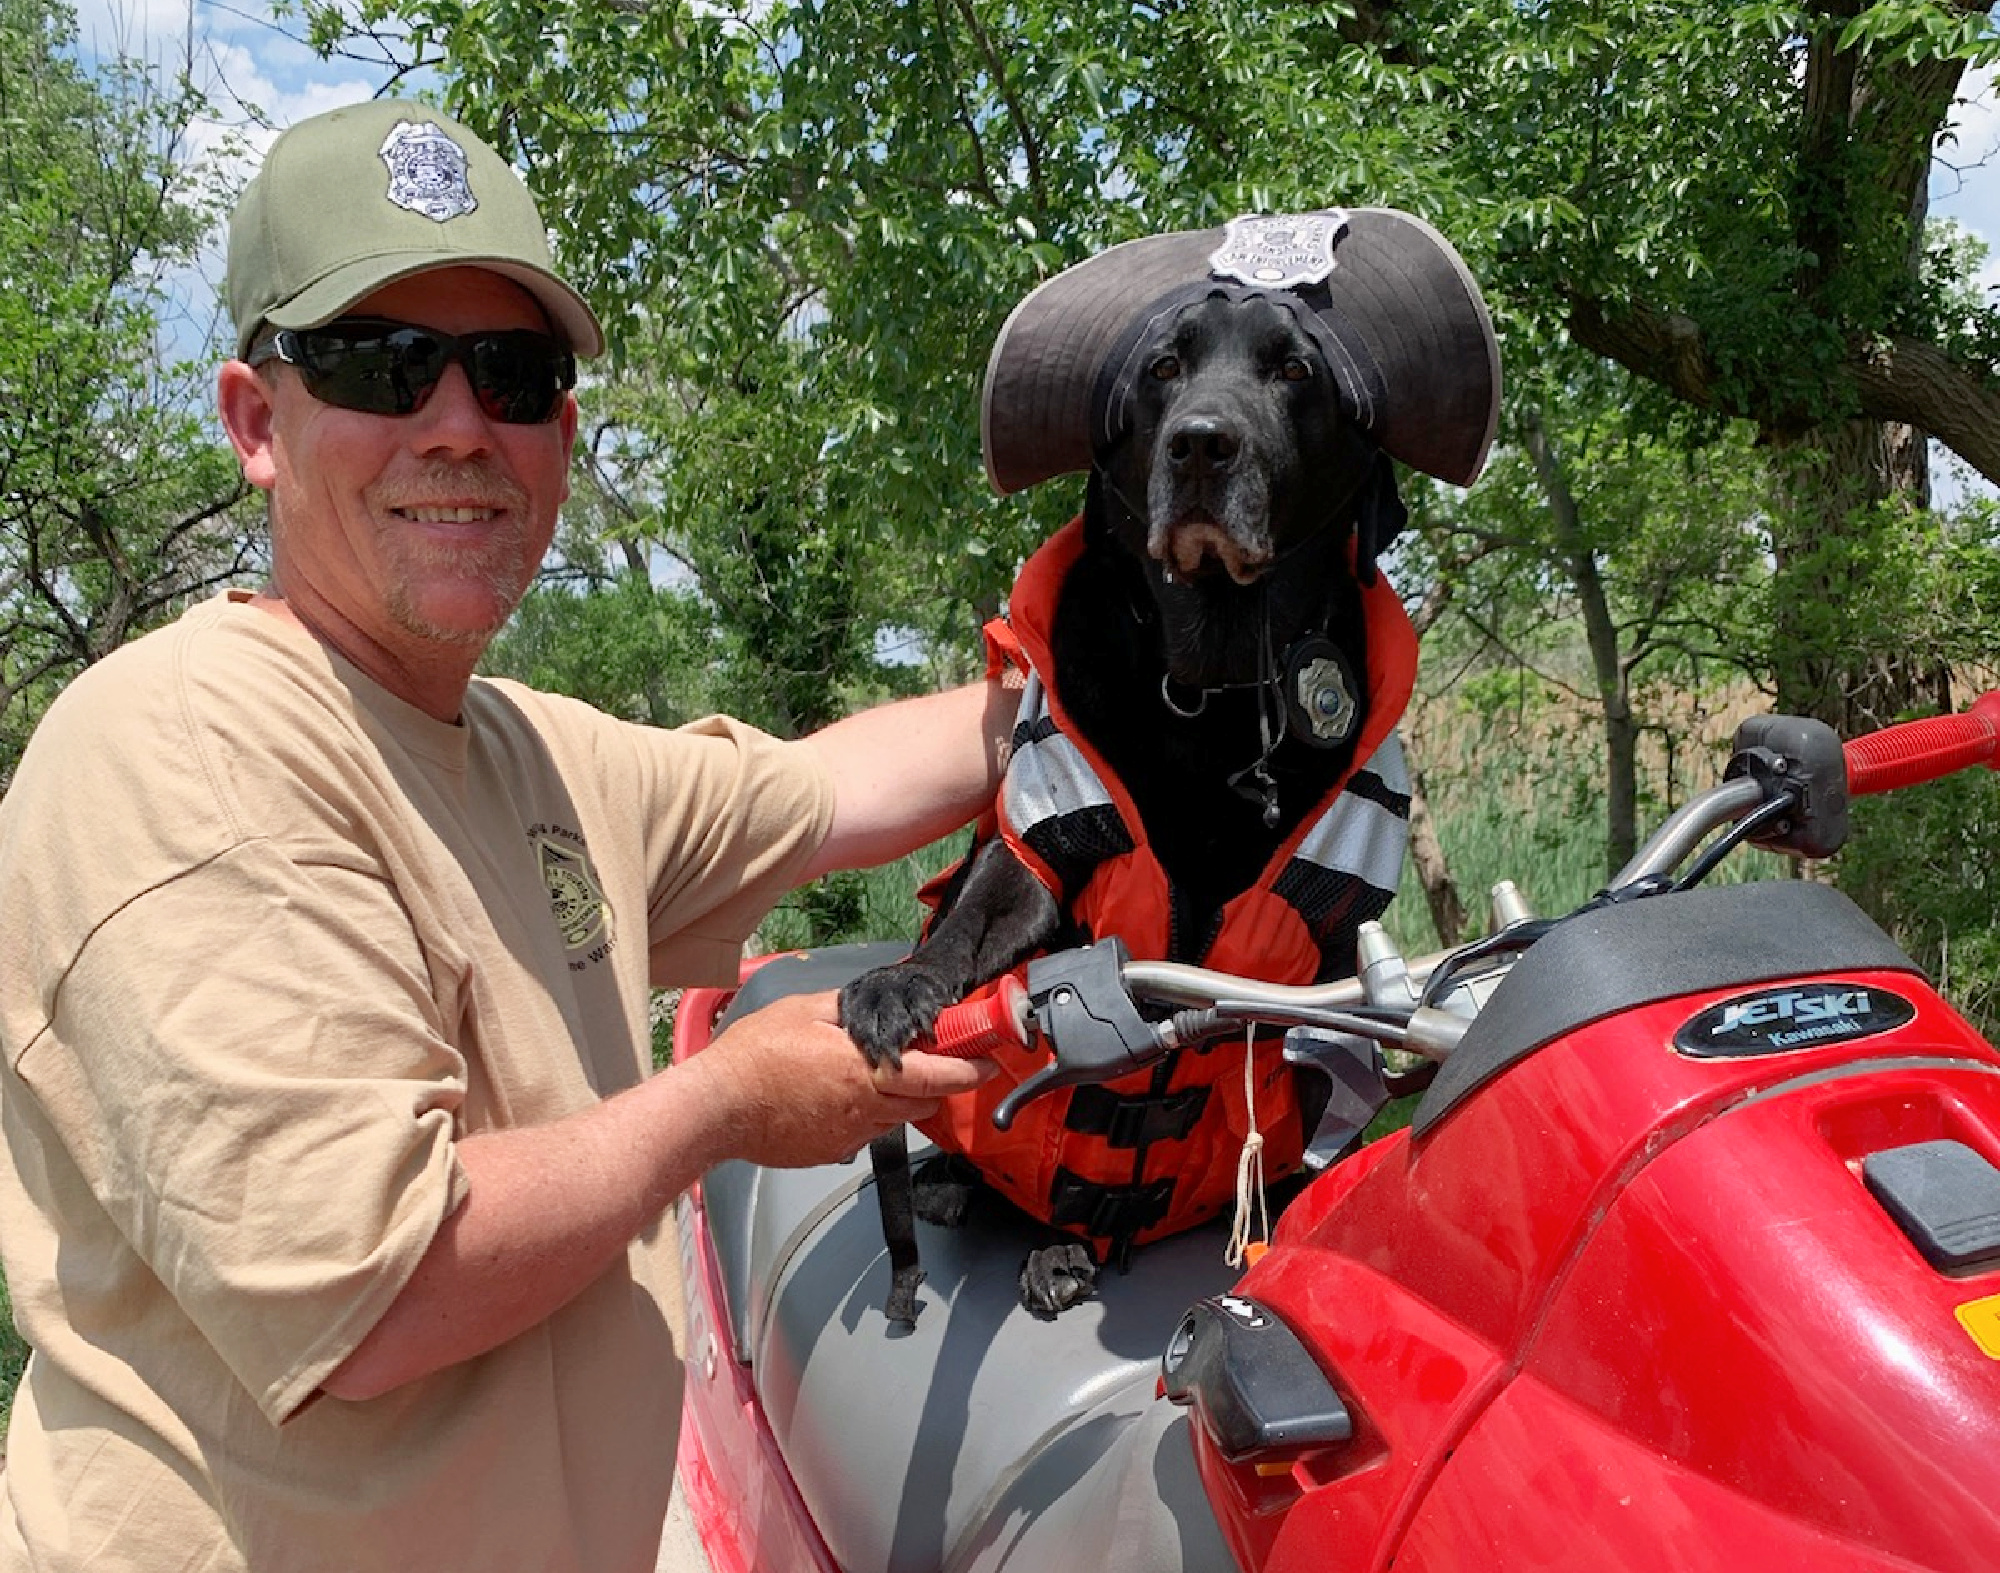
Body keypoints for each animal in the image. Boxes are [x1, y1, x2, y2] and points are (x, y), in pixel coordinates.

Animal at [836, 288, 1416, 1320]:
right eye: (1163, 368)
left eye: (1295, 369)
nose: (1202, 445)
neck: (1213, 686)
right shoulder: (1040, 839)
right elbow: (973, 918)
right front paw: (899, 984)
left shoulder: (1344, 923)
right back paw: (1009, 1221)